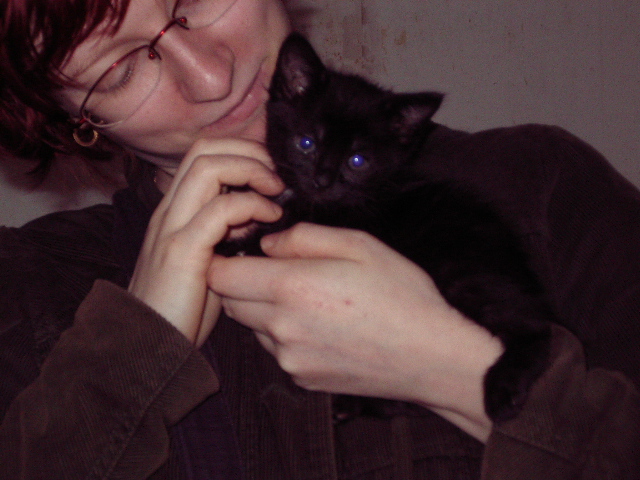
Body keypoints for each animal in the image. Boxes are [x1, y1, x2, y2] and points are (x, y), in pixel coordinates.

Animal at [219, 33, 552, 422]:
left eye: (357, 160)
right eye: (306, 143)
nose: (321, 180)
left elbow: (265, 239)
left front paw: (228, 248)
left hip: (465, 268)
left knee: (535, 326)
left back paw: (503, 389)